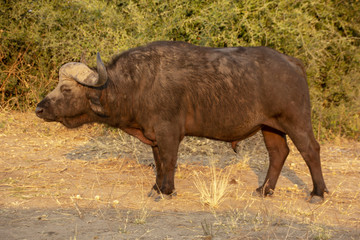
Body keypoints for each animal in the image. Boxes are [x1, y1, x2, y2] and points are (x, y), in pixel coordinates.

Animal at [36, 41, 330, 202]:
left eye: (66, 89)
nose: (39, 108)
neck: (136, 84)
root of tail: (293, 63)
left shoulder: (169, 132)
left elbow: (169, 161)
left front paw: (166, 191)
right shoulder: (153, 135)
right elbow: (158, 163)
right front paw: (156, 187)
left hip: (296, 121)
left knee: (310, 151)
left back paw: (317, 193)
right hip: (270, 127)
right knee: (279, 153)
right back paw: (264, 190)